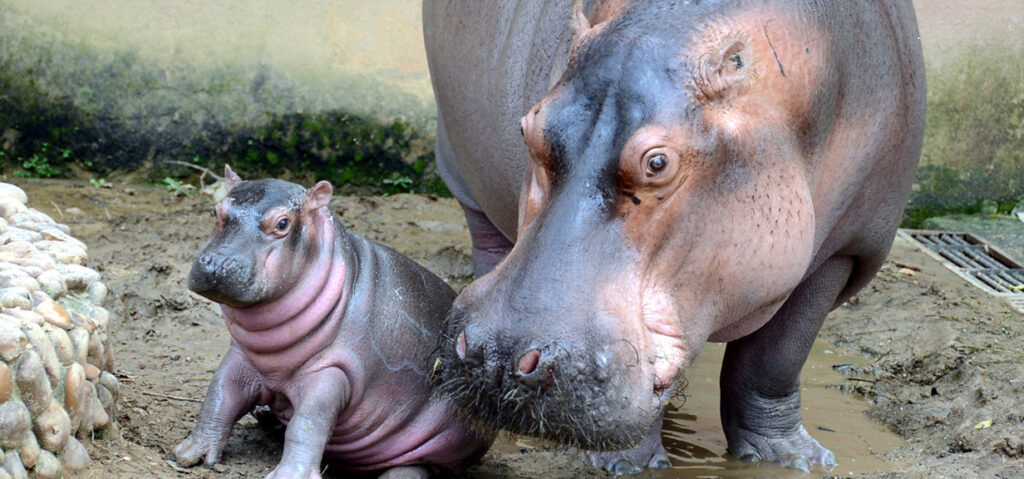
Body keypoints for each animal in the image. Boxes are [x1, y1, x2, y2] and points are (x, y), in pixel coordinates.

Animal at [175, 166, 491, 476]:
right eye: (215, 211)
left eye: (282, 223)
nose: (217, 263)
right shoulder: (241, 356)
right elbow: (219, 395)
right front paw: (188, 455)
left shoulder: (333, 371)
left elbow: (308, 423)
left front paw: (289, 475)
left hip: (439, 445)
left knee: (413, 468)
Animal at [423, 0, 929, 470]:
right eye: (528, 128)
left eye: (657, 163)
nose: (494, 355)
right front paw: (626, 464)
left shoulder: (843, 250)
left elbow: (776, 360)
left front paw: (793, 460)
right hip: (463, 176)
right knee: (489, 243)